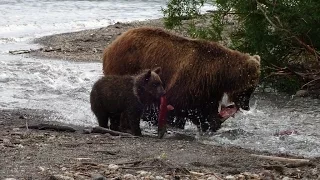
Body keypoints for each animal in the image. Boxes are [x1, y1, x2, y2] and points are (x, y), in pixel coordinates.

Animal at [102, 26, 260, 132]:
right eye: (250, 88)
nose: (246, 105)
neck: (220, 74)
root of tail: (111, 46)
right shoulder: (190, 79)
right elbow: (176, 107)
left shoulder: (208, 88)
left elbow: (205, 106)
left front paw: (211, 122)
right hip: (126, 64)